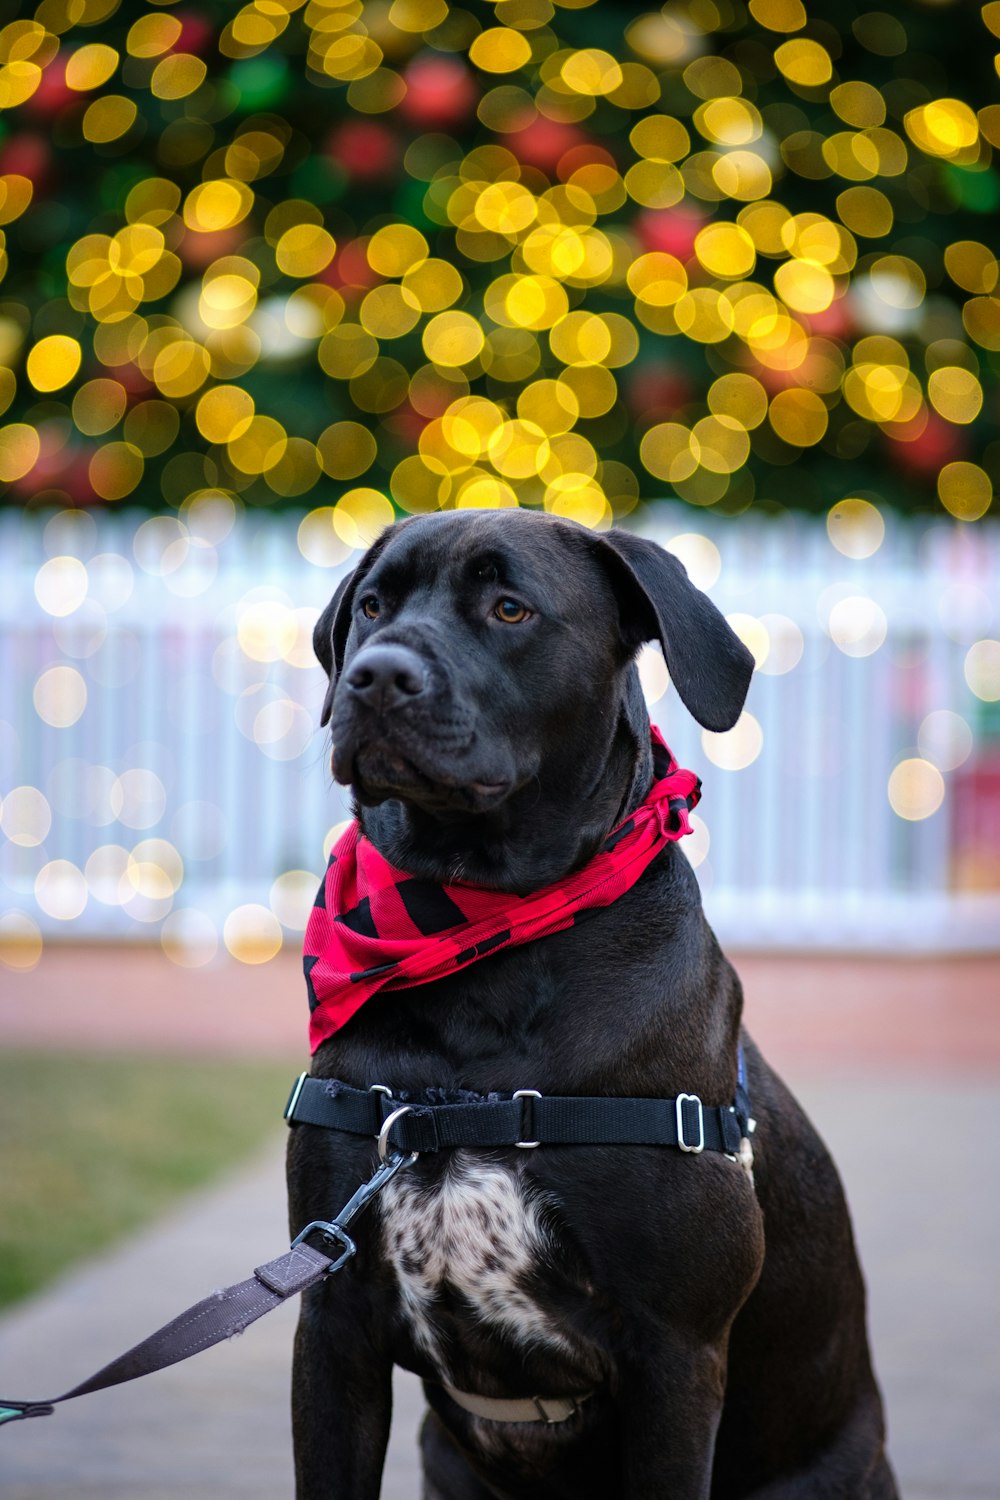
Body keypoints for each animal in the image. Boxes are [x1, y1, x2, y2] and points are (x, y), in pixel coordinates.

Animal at [290, 510, 899, 1494]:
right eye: (374, 605)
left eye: (510, 608)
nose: (374, 674)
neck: (479, 935)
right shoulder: (332, 1328)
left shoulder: (677, 1357)